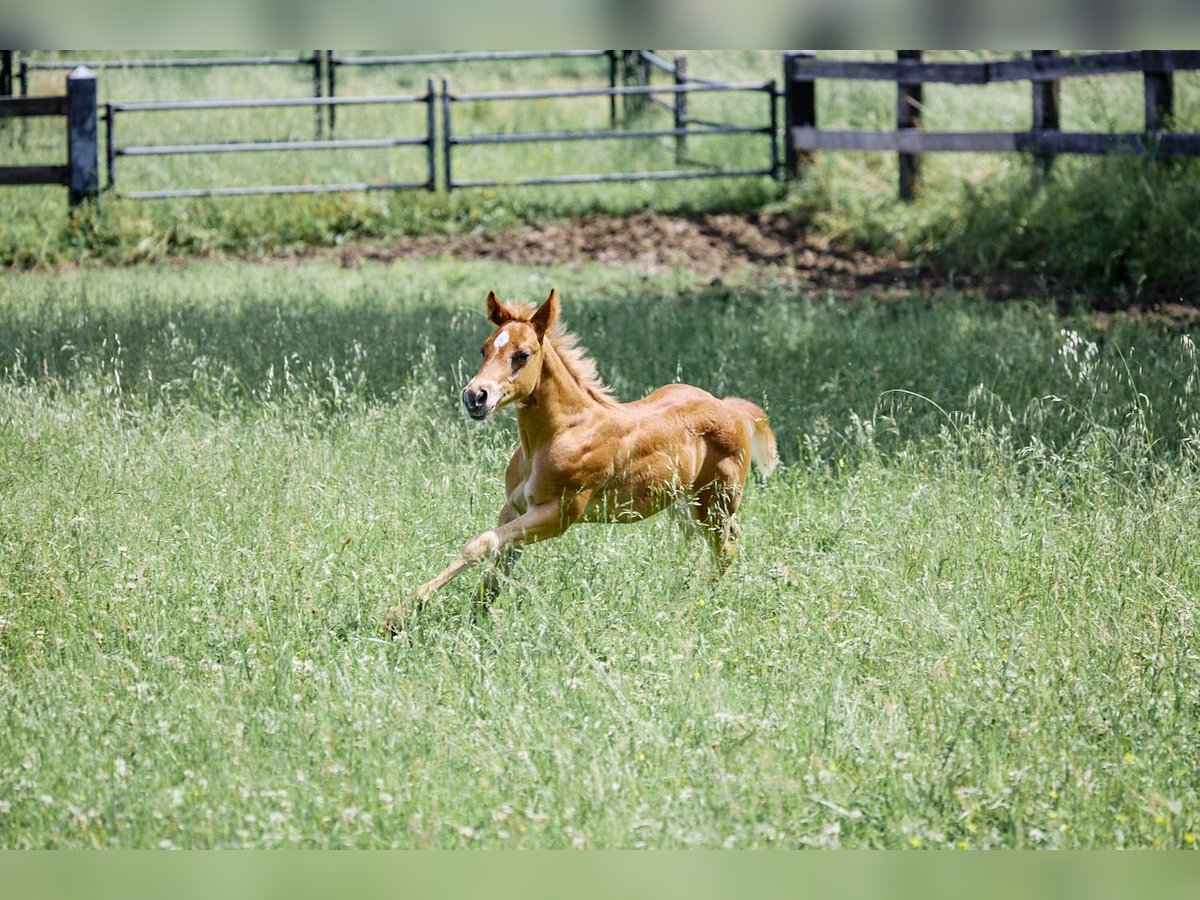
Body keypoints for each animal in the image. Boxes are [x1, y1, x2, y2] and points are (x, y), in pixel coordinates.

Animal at [384, 289, 777, 633]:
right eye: (484, 348)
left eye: (522, 355)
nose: (475, 397)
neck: (556, 435)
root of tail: (730, 408)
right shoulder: (514, 508)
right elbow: (498, 560)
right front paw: (471, 616)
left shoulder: (557, 514)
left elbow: (479, 544)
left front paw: (403, 611)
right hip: (685, 505)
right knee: (709, 541)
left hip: (715, 502)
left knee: (727, 545)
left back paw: (698, 599)